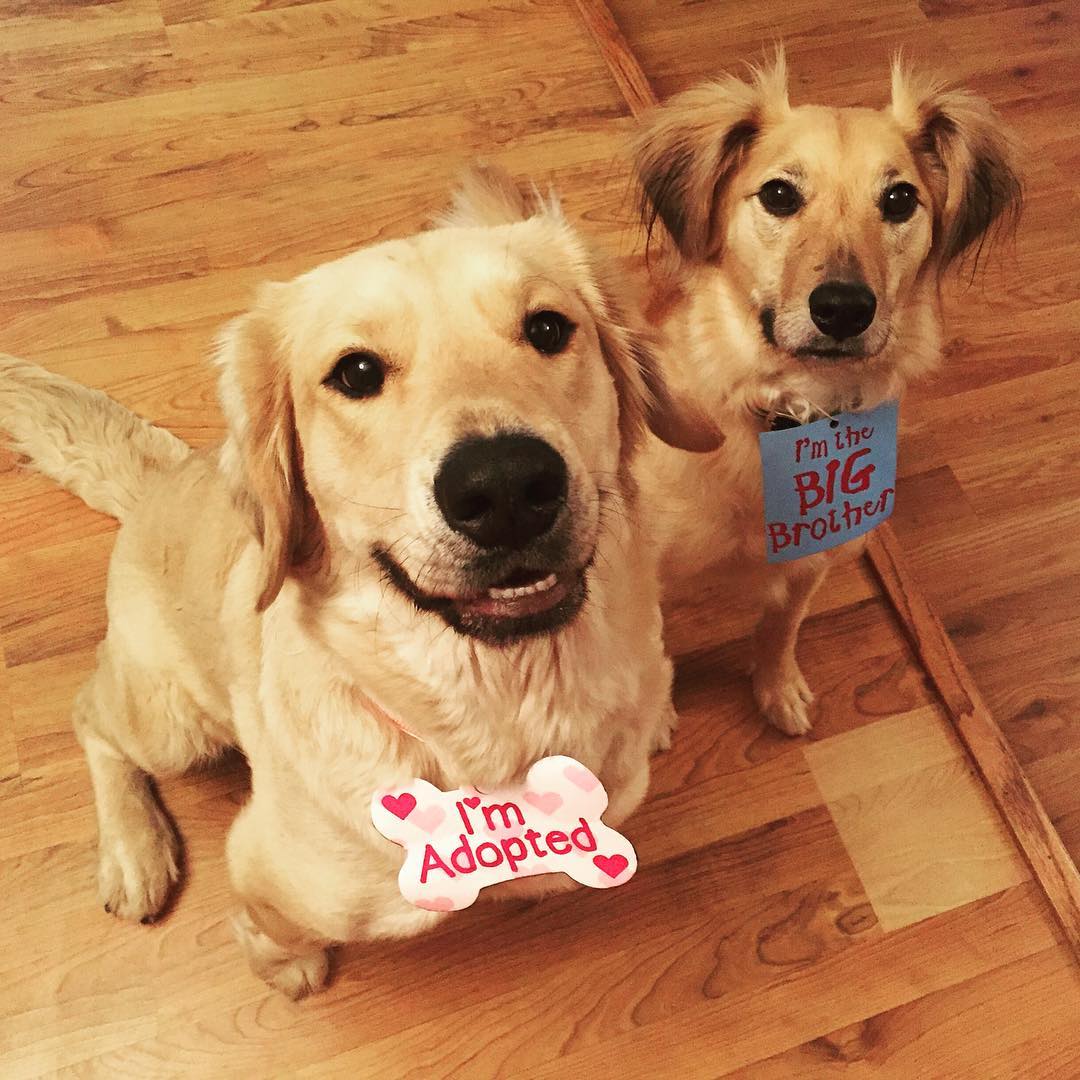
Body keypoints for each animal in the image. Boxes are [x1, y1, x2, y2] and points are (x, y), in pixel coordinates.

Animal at [0, 168, 708, 993]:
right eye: (357, 372)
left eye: (547, 329)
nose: (505, 486)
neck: (505, 718)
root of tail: (158, 482)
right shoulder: (263, 869)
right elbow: (271, 929)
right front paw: (290, 967)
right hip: (171, 723)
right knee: (92, 715)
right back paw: (132, 851)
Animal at [630, 54, 1019, 738]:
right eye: (779, 195)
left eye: (899, 199)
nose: (843, 308)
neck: (789, 411)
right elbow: (650, 648)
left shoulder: (812, 559)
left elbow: (781, 627)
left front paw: (776, 687)